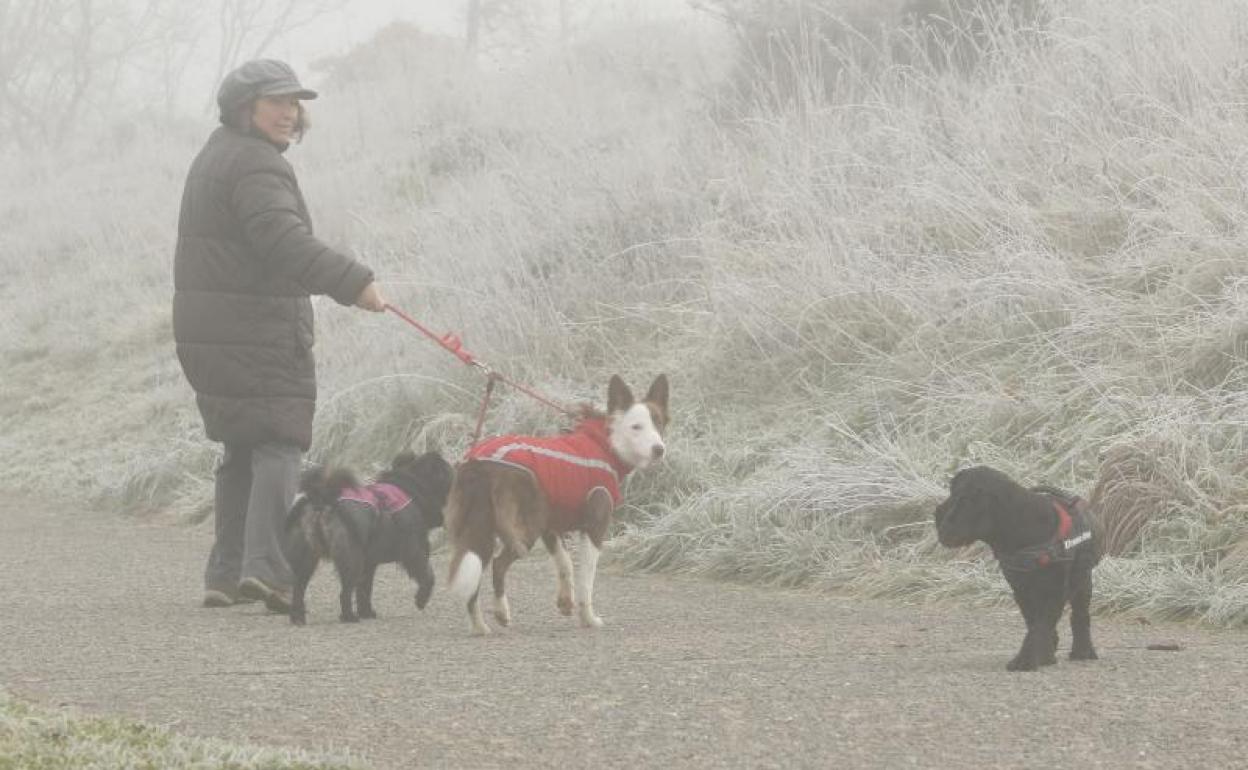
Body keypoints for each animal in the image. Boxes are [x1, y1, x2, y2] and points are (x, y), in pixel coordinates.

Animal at [283, 449, 454, 623]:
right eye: (448, 472)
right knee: (344, 592)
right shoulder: (414, 551)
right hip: (351, 558)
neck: (413, 488)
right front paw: (421, 599)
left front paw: (366, 612)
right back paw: (349, 617)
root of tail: (323, 499)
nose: (457, 474)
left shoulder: (370, 563)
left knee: (299, 587)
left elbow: (364, 590)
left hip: (307, 557)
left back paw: (298, 617)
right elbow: (428, 575)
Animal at [444, 371, 668, 631]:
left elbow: (565, 563)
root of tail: (479, 465)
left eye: (659, 423)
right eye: (636, 427)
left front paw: (565, 602)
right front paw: (588, 618)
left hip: (481, 526)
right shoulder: (594, 527)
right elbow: (586, 580)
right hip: (523, 528)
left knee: (473, 574)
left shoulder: (551, 525)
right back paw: (501, 612)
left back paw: (480, 626)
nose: (659, 449)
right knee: (498, 565)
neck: (606, 443)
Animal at [938, 464, 1103, 668]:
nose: (941, 525)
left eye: (966, 501)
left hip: (1082, 579)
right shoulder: (1021, 589)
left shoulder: (1055, 590)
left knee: (1080, 615)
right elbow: (1034, 621)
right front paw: (1045, 654)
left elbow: (1040, 624)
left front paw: (1025, 660)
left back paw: (1083, 651)